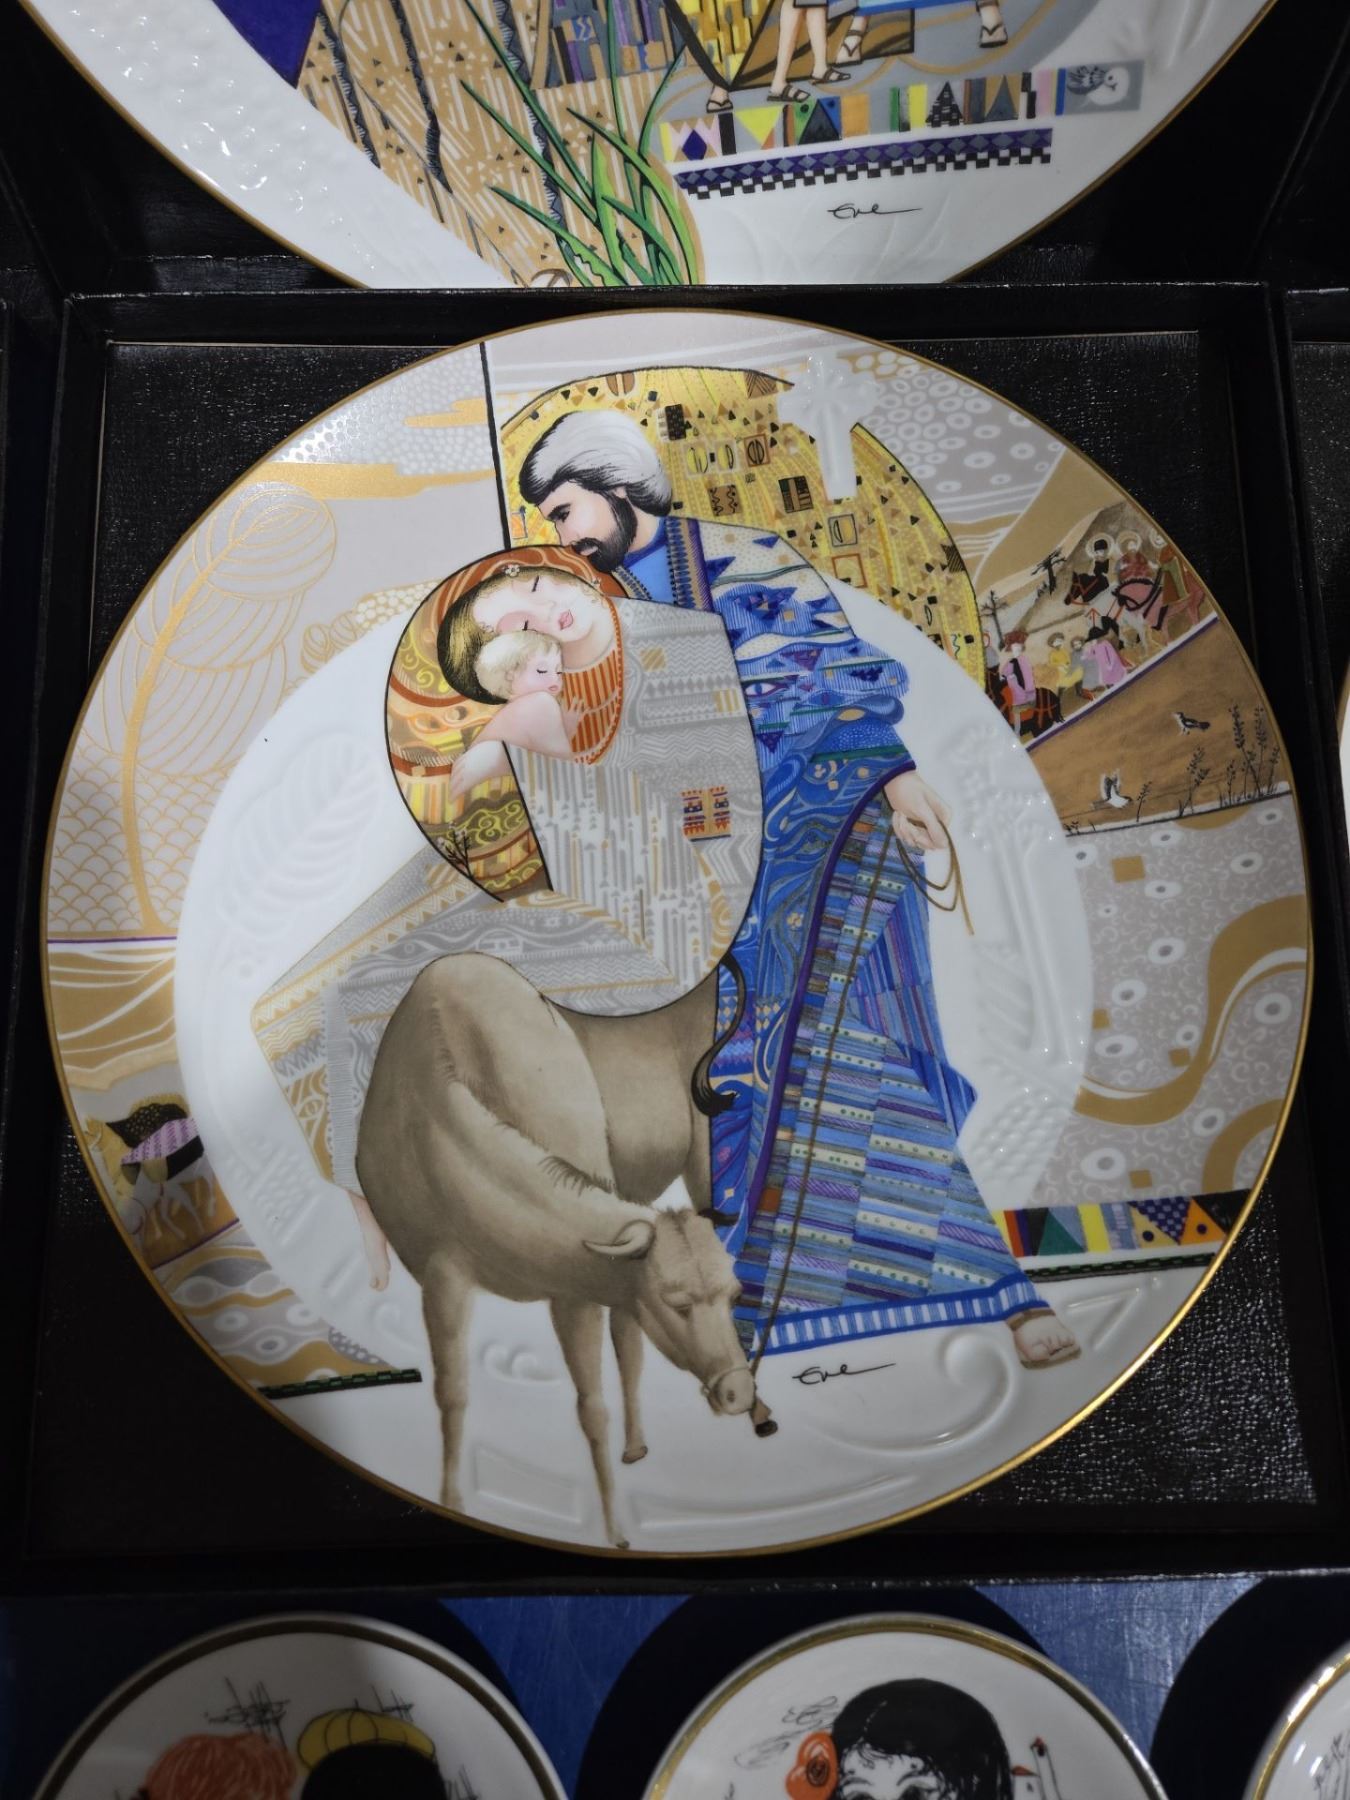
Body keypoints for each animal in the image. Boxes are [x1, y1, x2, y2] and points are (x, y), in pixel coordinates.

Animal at [355, 951, 773, 1549]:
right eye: (679, 1304)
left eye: (735, 1295)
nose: (737, 1391)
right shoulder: (444, 1279)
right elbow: (453, 1395)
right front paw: (454, 1499)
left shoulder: (576, 1290)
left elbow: (591, 1406)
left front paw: (617, 1530)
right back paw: (639, 1444)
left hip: (701, 1167)